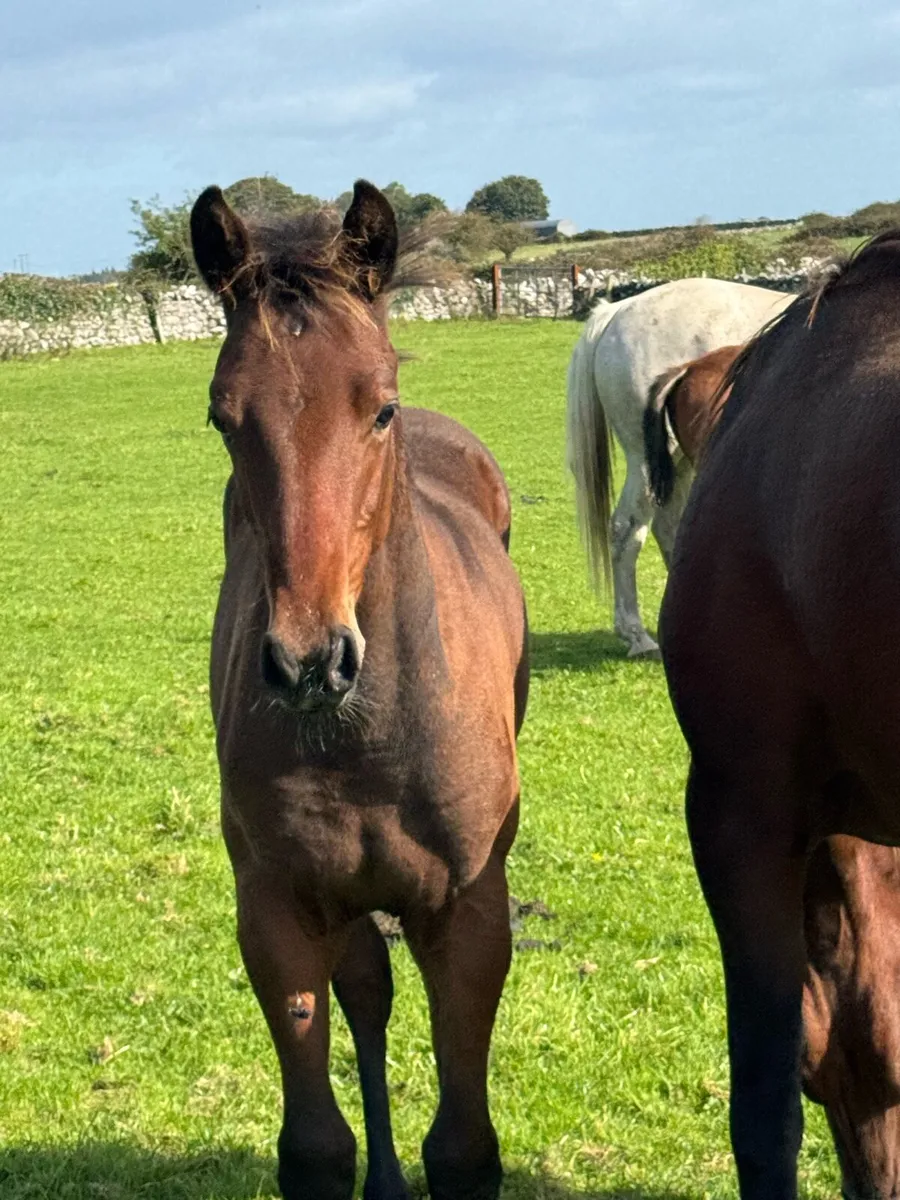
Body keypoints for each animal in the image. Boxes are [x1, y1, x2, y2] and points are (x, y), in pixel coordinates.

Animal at [190, 180, 528, 1200]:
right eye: (223, 417)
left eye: (379, 408)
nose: (310, 660)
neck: (368, 738)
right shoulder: (279, 909)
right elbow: (315, 1147)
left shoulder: (468, 912)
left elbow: (464, 1150)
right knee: (367, 994)